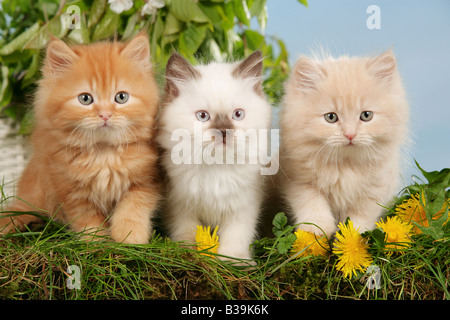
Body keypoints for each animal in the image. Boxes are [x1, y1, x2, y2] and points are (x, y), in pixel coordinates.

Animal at [0, 33, 161, 244]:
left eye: (121, 97)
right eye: (85, 99)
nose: (105, 115)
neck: (104, 154)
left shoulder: (145, 182)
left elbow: (132, 209)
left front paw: (130, 238)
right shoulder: (70, 190)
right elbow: (87, 219)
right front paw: (95, 242)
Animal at [156, 50, 272, 260]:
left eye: (237, 115)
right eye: (203, 116)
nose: (224, 131)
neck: (216, 167)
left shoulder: (243, 207)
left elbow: (236, 238)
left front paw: (235, 261)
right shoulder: (179, 206)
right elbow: (188, 232)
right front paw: (190, 254)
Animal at [280, 49, 410, 235]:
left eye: (366, 115)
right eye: (331, 117)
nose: (350, 134)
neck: (345, 165)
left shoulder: (376, 188)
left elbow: (360, 218)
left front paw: (352, 236)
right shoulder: (298, 180)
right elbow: (312, 202)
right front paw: (316, 229)